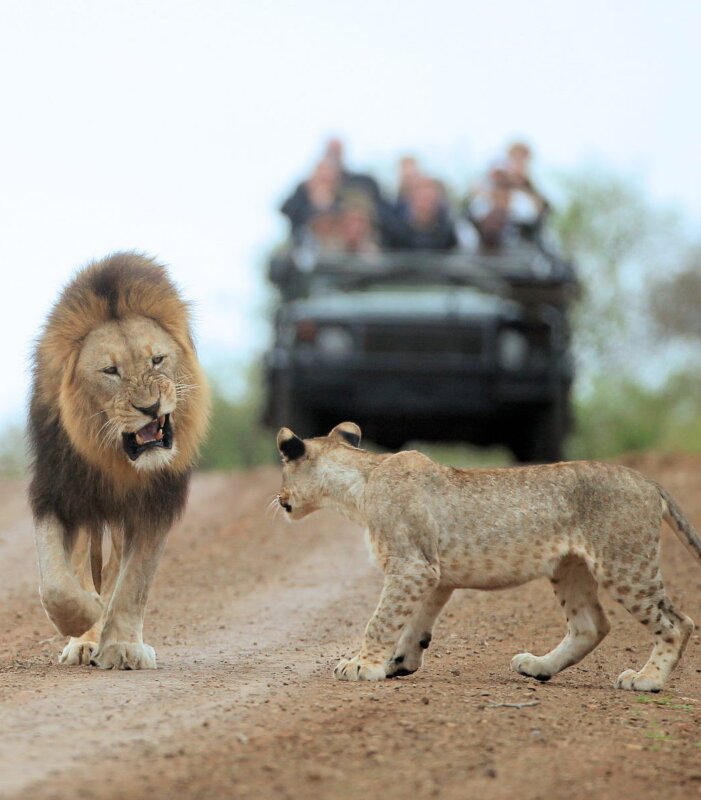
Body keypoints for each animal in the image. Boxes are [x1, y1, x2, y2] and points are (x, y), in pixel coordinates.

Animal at [28, 252, 209, 668]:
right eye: (110, 371)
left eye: (157, 360)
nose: (150, 407)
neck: (118, 461)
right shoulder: (56, 493)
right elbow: (56, 583)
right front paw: (86, 619)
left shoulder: (157, 503)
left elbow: (134, 582)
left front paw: (123, 645)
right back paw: (86, 636)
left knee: (114, 571)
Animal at [276, 422, 696, 692]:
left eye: (282, 471)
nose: (280, 499)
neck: (357, 486)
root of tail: (648, 481)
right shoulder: (433, 573)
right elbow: (416, 621)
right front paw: (400, 661)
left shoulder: (412, 566)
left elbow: (381, 620)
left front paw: (363, 665)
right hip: (570, 568)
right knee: (590, 625)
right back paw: (538, 667)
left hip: (625, 565)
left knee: (678, 623)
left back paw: (647, 680)